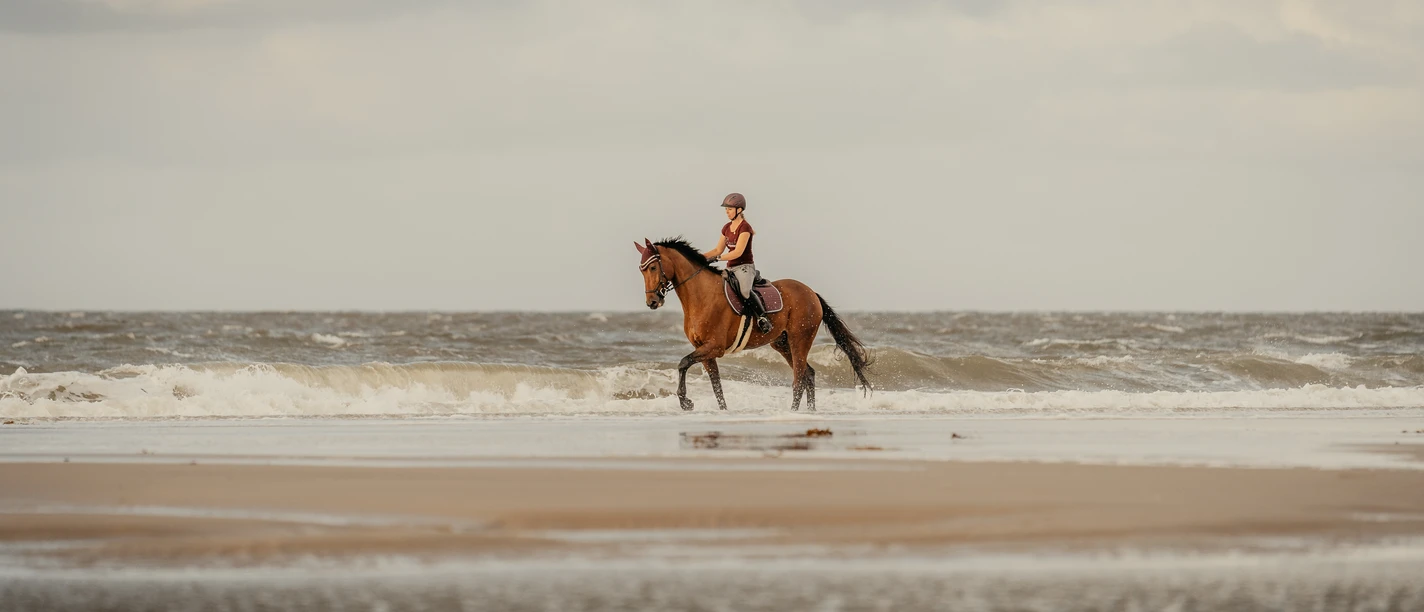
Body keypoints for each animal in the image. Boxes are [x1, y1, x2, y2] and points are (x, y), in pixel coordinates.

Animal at [634, 237, 872, 411]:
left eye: (653, 267)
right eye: (641, 270)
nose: (652, 302)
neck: (701, 295)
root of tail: (810, 292)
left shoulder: (714, 347)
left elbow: (683, 363)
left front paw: (685, 402)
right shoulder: (704, 350)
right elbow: (716, 385)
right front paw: (722, 410)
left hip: (799, 339)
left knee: (799, 378)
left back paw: (793, 411)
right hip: (782, 343)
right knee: (808, 373)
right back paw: (810, 411)